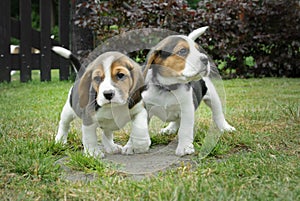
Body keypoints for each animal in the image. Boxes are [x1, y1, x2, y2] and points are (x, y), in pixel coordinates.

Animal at [142, 26, 236, 156]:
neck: (168, 87)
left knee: (218, 114)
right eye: (182, 51)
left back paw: (225, 127)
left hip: (213, 97)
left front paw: (185, 147)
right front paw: (134, 146)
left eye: (198, 50)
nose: (205, 59)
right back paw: (170, 129)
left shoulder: (187, 109)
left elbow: (184, 130)